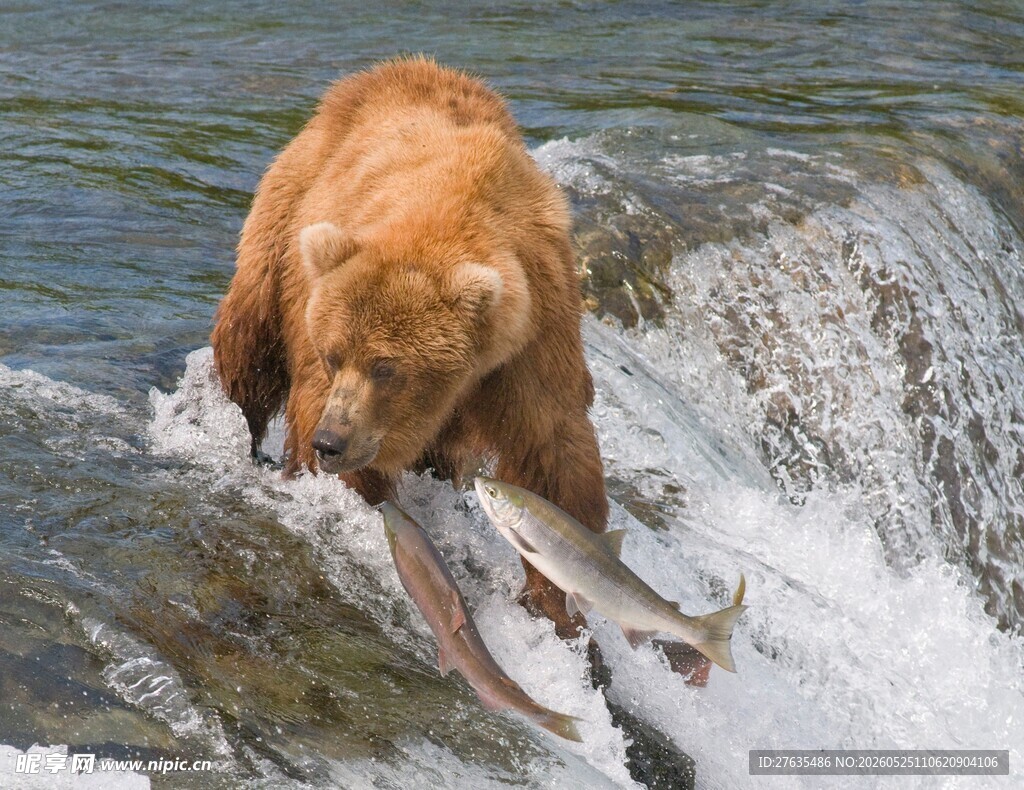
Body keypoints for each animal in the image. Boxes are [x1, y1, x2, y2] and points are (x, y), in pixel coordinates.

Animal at [211, 57, 608, 637]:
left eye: (386, 367)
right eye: (334, 355)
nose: (332, 441)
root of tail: (382, 71)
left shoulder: (532, 337)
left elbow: (552, 455)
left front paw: (559, 604)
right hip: (286, 219)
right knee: (249, 343)